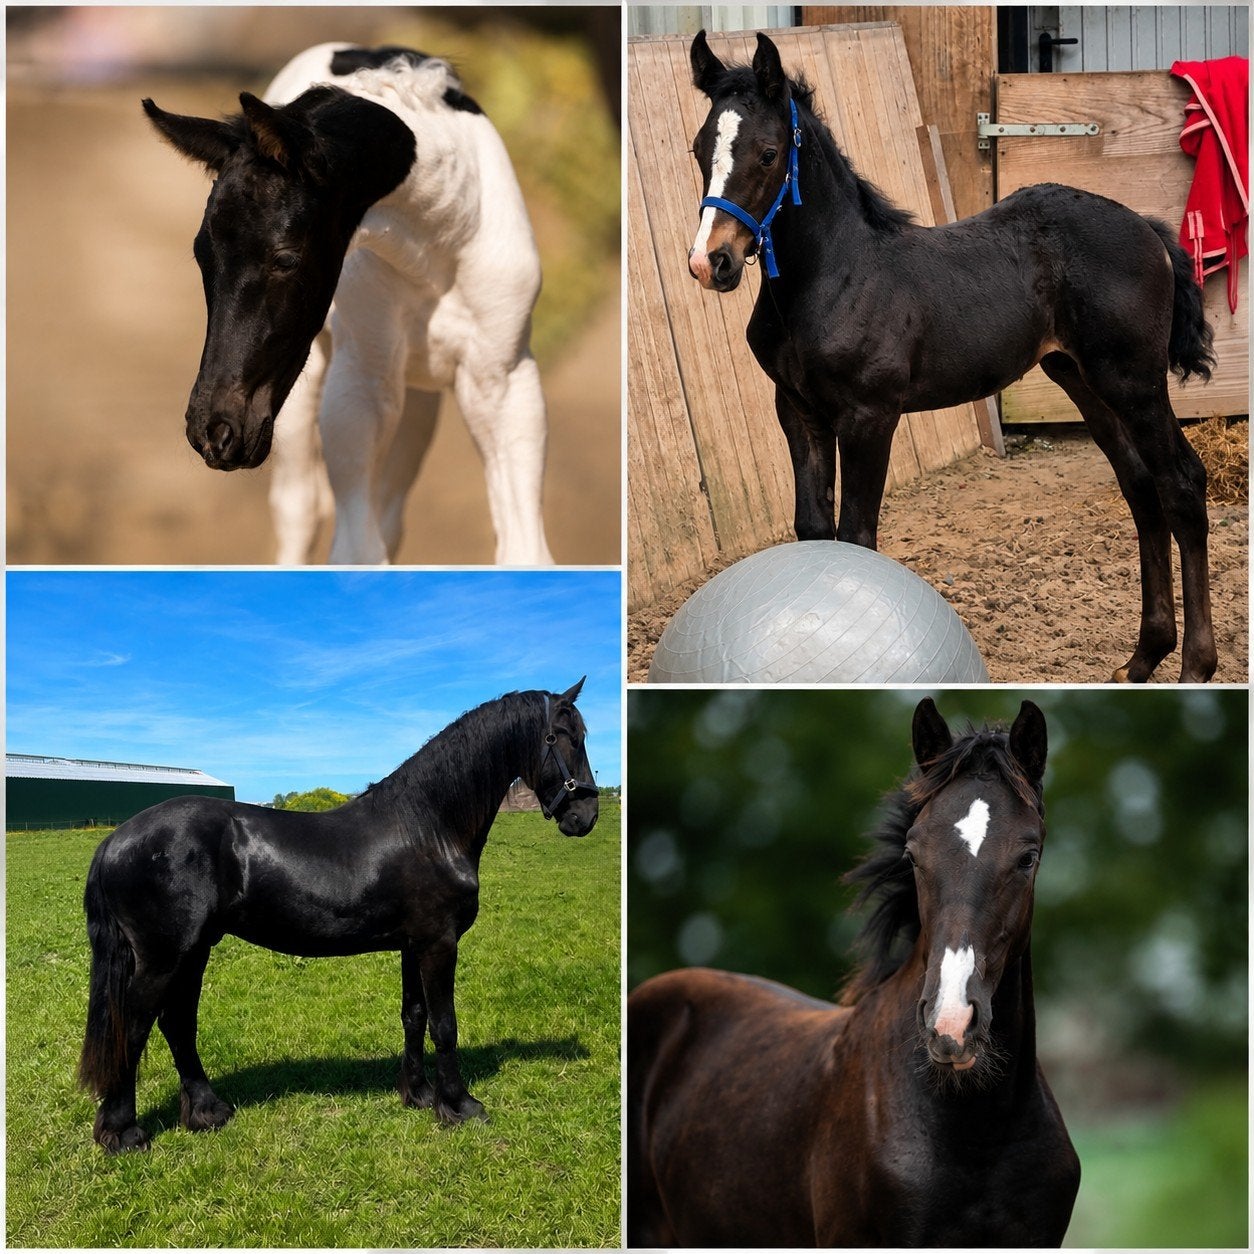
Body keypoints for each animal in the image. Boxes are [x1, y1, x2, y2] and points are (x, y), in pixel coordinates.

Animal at [79, 681, 597, 1152]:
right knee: (135, 1025)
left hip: (194, 950)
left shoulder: (413, 944)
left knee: (178, 1023)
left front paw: (418, 1094)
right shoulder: (439, 942)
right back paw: (123, 1133)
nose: (586, 816)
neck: (429, 828)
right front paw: (459, 1105)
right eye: (565, 737)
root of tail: (115, 839)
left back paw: (208, 1112)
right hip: (164, 957)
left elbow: (414, 1016)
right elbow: (444, 1024)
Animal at [144, 44, 553, 565]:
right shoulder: (360, 384)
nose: (213, 432)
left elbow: (525, 551)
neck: (442, 238)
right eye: (201, 254)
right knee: (299, 508)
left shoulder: (502, 383)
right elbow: (356, 550)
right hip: (306, 387)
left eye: (286, 257)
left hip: (413, 397)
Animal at [685, 30, 1219, 684]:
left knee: (1181, 484)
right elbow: (814, 529)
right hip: (1082, 379)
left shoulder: (870, 416)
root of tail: (1144, 226)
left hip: (1134, 382)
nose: (711, 262)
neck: (833, 276)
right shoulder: (797, 409)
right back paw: (1141, 659)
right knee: (1141, 488)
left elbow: (855, 535)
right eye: (699, 149)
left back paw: (1194, 666)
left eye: (766, 153)